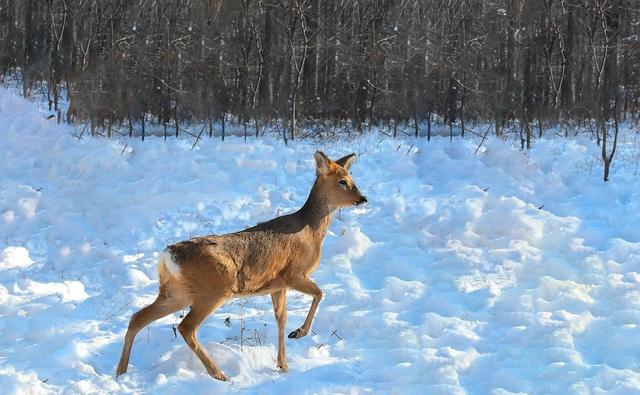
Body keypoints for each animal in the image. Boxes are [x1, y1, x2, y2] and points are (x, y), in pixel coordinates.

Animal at [114, 151, 364, 380]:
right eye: (343, 181)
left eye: (351, 177)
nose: (363, 198)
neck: (310, 231)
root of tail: (167, 256)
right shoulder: (292, 274)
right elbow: (319, 293)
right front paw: (300, 333)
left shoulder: (277, 285)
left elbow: (281, 319)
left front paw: (283, 364)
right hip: (213, 291)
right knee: (186, 327)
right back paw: (218, 373)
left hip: (176, 292)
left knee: (137, 318)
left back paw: (120, 372)